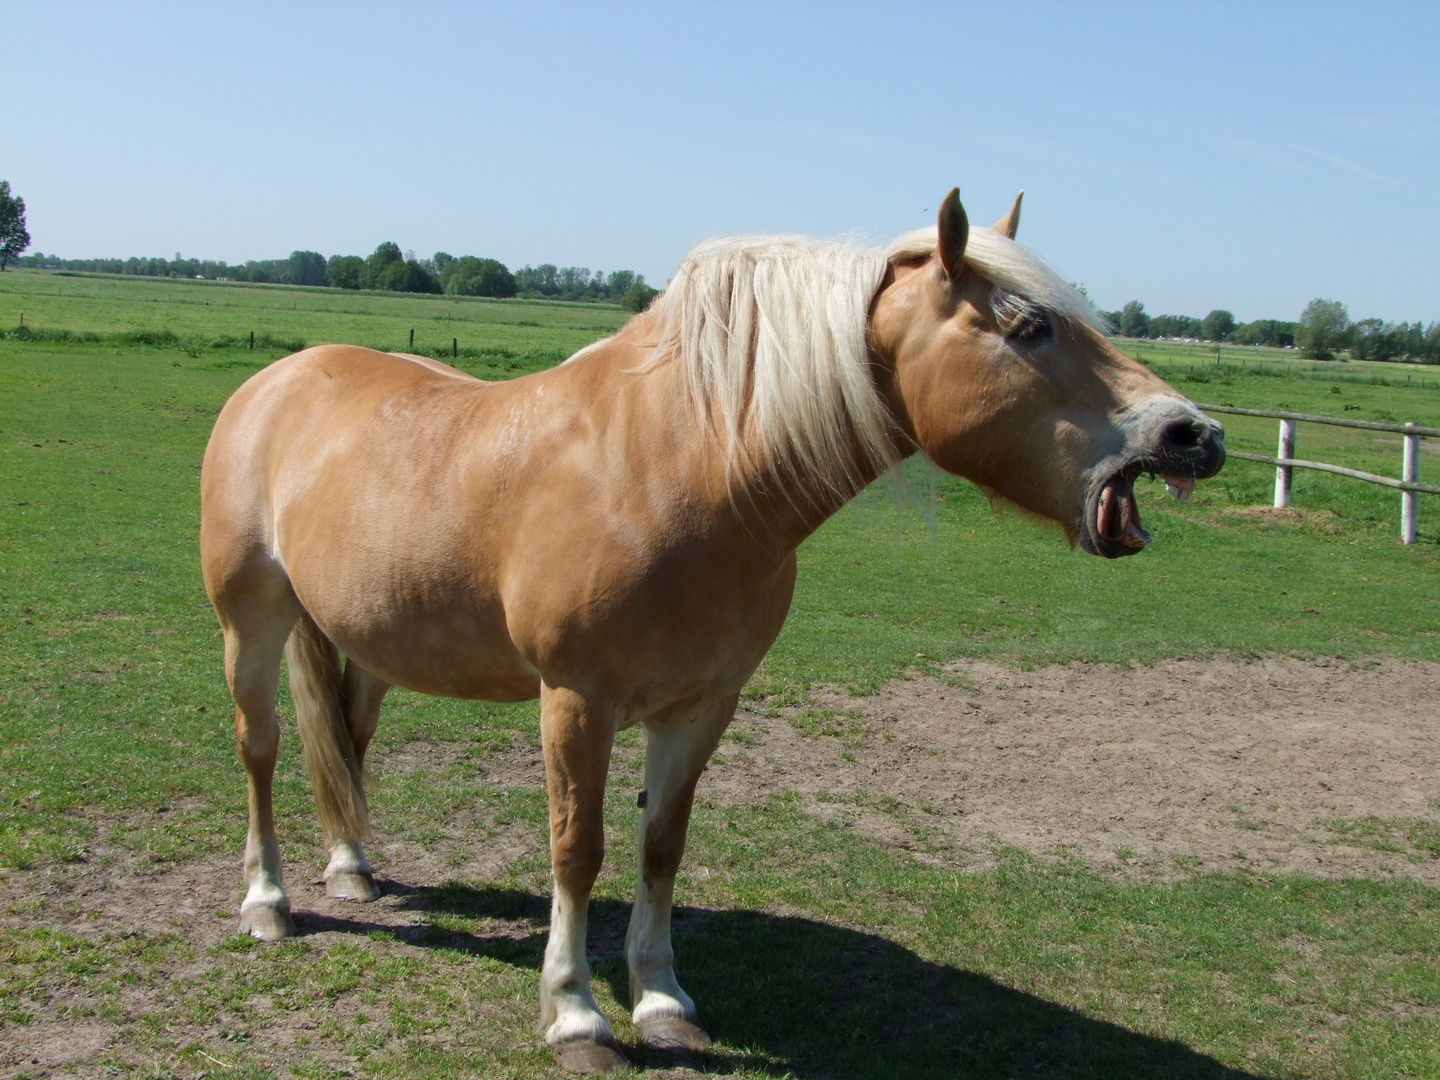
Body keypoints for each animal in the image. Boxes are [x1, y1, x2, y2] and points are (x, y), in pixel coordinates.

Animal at [197, 188, 1221, 1077]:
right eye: (1027, 325)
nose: (1192, 435)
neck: (673, 471)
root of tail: (280, 377)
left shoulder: (699, 707)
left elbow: (661, 844)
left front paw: (661, 1002)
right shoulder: (576, 701)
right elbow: (577, 850)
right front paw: (575, 1014)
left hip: (373, 637)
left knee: (350, 737)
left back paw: (352, 866)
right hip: (251, 621)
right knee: (262, 746)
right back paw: (268, 902)